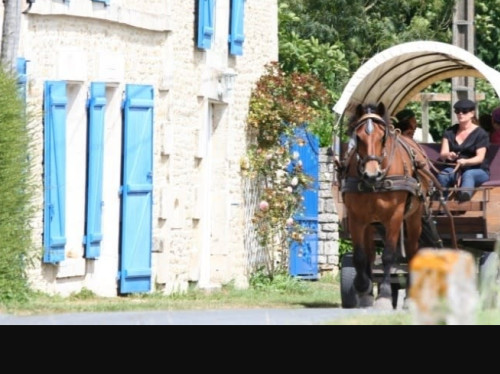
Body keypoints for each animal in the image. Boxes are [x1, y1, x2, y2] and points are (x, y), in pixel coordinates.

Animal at [340, 103, 434, 310]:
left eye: (382, 136)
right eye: (358, 137)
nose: (371, 174)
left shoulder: (394, 217)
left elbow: (388, 256)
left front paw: (383, 296)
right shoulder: (356, 218)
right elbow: (360, 256)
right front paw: (363, 289)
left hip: (413, 217)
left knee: (412, 251)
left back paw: (409, 297)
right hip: (371, 224)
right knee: (369, 253)